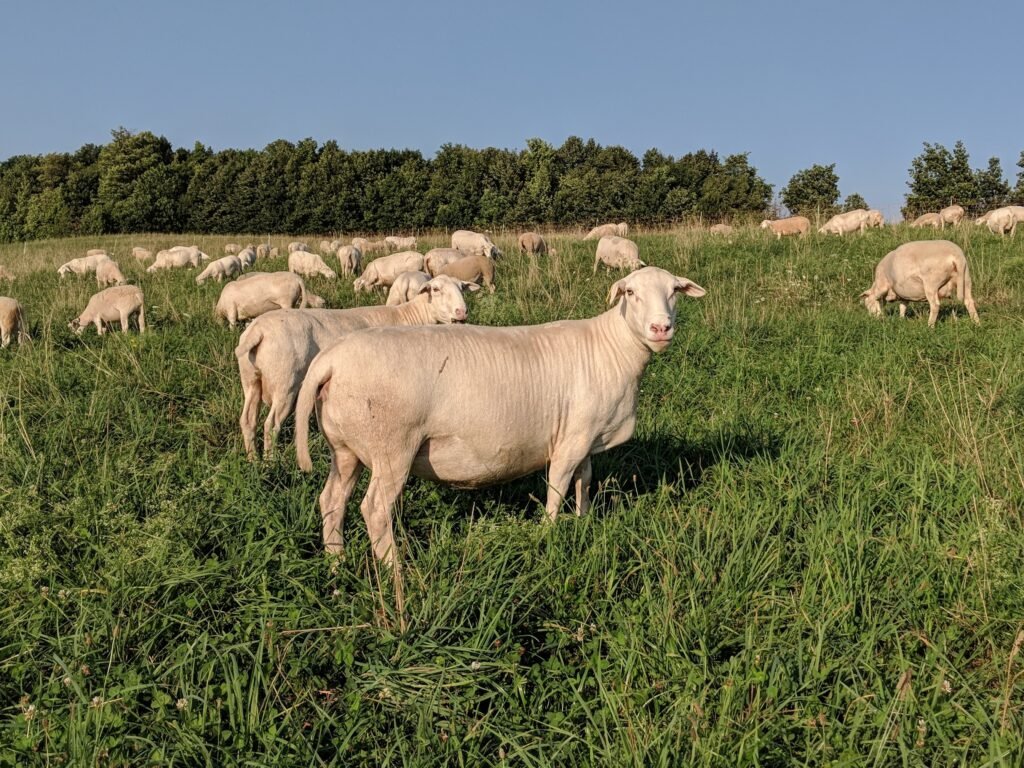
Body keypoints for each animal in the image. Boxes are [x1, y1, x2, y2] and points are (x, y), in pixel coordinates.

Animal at [234, 274, 471, 460]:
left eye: (461, 288)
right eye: (436, 289)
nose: (461, 312)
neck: (411, 317)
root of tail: (258, 331)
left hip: (251, 380)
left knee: (247, 420)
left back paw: (253, 460)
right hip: (286, 383)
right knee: (270, 425)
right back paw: (270, 463)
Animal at [292, 268, 708, 585]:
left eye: (674, 291)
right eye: (631, 293)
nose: (660, 328)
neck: (611, 348)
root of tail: (330, 361)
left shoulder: (583, 435)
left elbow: (584, 481)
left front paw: (583, 521)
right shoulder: (568, 443)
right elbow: (557, 489)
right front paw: (549, 537)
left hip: (345, 448)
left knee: (332, 501)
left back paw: (336, 565)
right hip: (391, 447)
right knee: (376, 509)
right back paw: (396, 573)